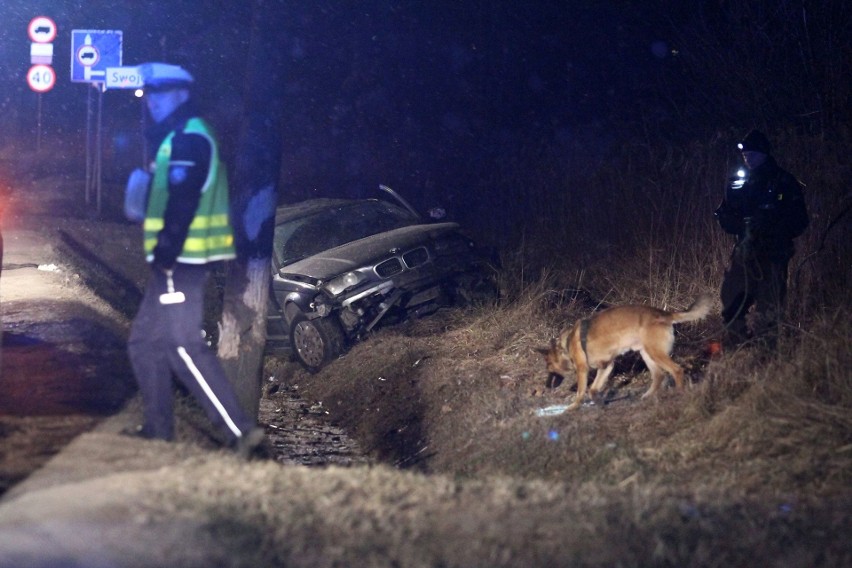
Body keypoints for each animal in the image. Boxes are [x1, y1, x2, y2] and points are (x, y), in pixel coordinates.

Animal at [540, 296, 712, 410]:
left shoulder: (583, 370)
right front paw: (600, 403)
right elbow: (593, 389)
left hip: (655, 353)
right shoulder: (606, 366)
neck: (566, 345)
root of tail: (664, 314)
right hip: (647, 354)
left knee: (677, 370)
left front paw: (573, 407)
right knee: (659, 375)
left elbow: (582, 391)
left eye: (549, 367)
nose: (546, 386)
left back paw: (679, 394)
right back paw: (648, 396)